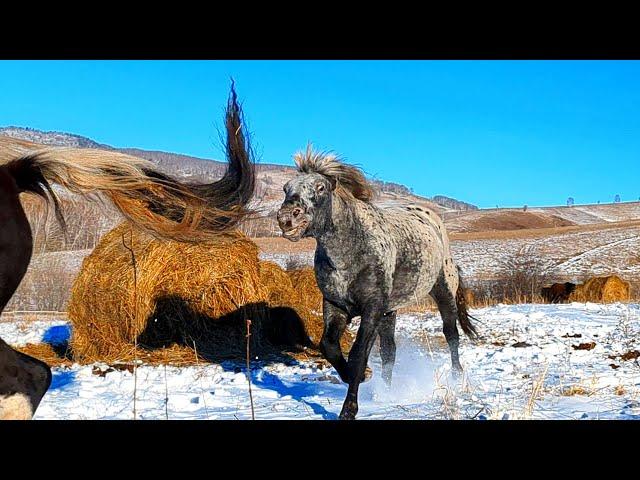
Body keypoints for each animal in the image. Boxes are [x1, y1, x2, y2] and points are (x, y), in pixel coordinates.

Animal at [278, 147, 478, 420]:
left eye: (320, 187)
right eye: (286, 188)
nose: (287, 218)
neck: (350, 252)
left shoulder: (371, 308)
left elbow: (359, 354)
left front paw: (349, 409)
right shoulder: (335, 306)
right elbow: (329, 346)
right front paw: (360, 378)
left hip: (443, 292)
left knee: (451, 335)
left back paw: (457, 378)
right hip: (390, 311)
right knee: (389, 352)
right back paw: (387, 391)